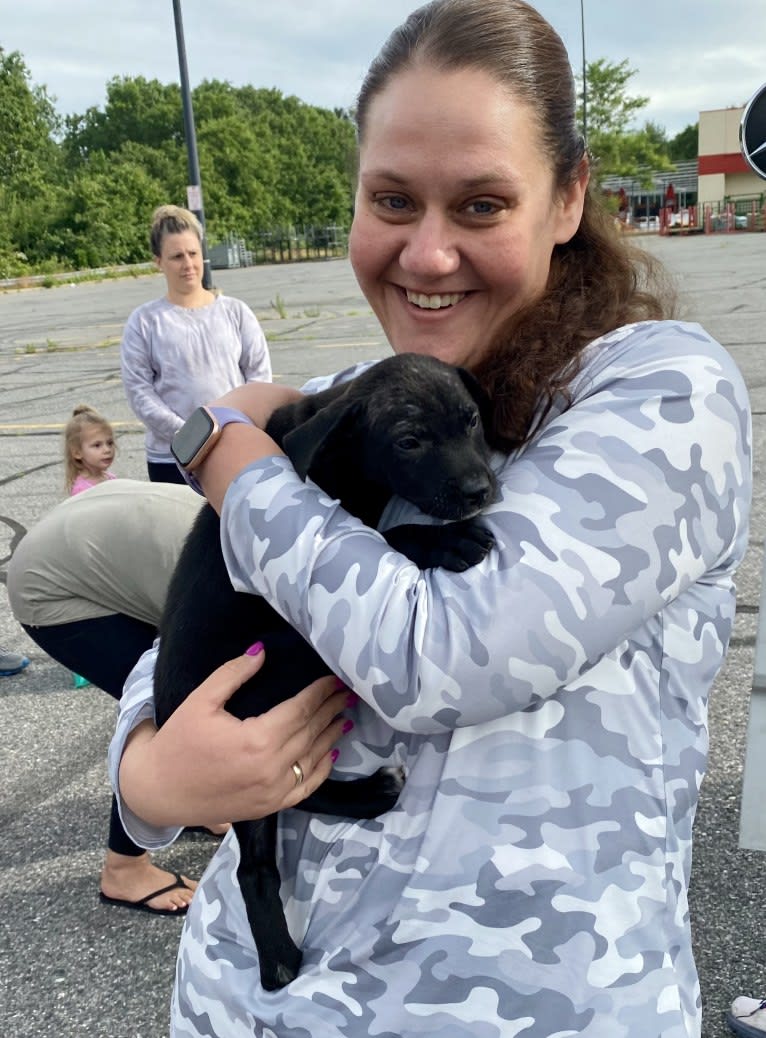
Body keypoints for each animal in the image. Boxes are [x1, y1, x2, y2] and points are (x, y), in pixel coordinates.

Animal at [153, 354, 496, 988]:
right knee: (267, 837)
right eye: (408, 441)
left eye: (471, 420)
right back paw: (280, 958)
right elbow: (386, 535)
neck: (342, 458)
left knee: (287, 809)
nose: (478, 492)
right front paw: (445, 540)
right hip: (281, 658)